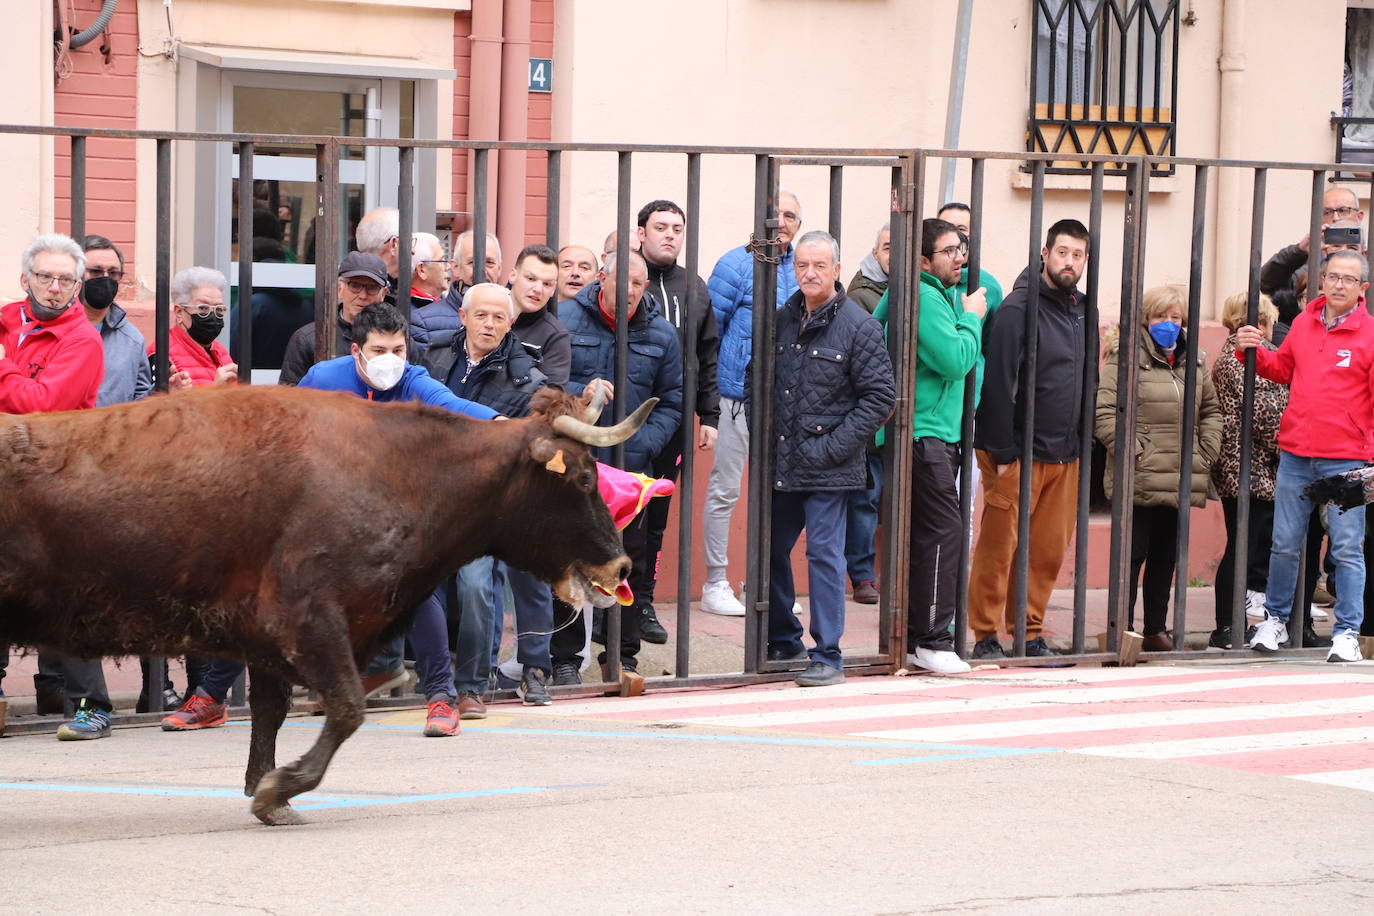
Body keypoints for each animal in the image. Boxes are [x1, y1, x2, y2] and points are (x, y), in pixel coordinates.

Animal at [0, 384, 648, 829]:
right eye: (583, 478)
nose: (621, 568)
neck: (405, 472)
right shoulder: (311, 619)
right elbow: (346, 708)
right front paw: (280, 790)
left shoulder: (268, 638)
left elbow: (273, 711)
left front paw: (265, 788)